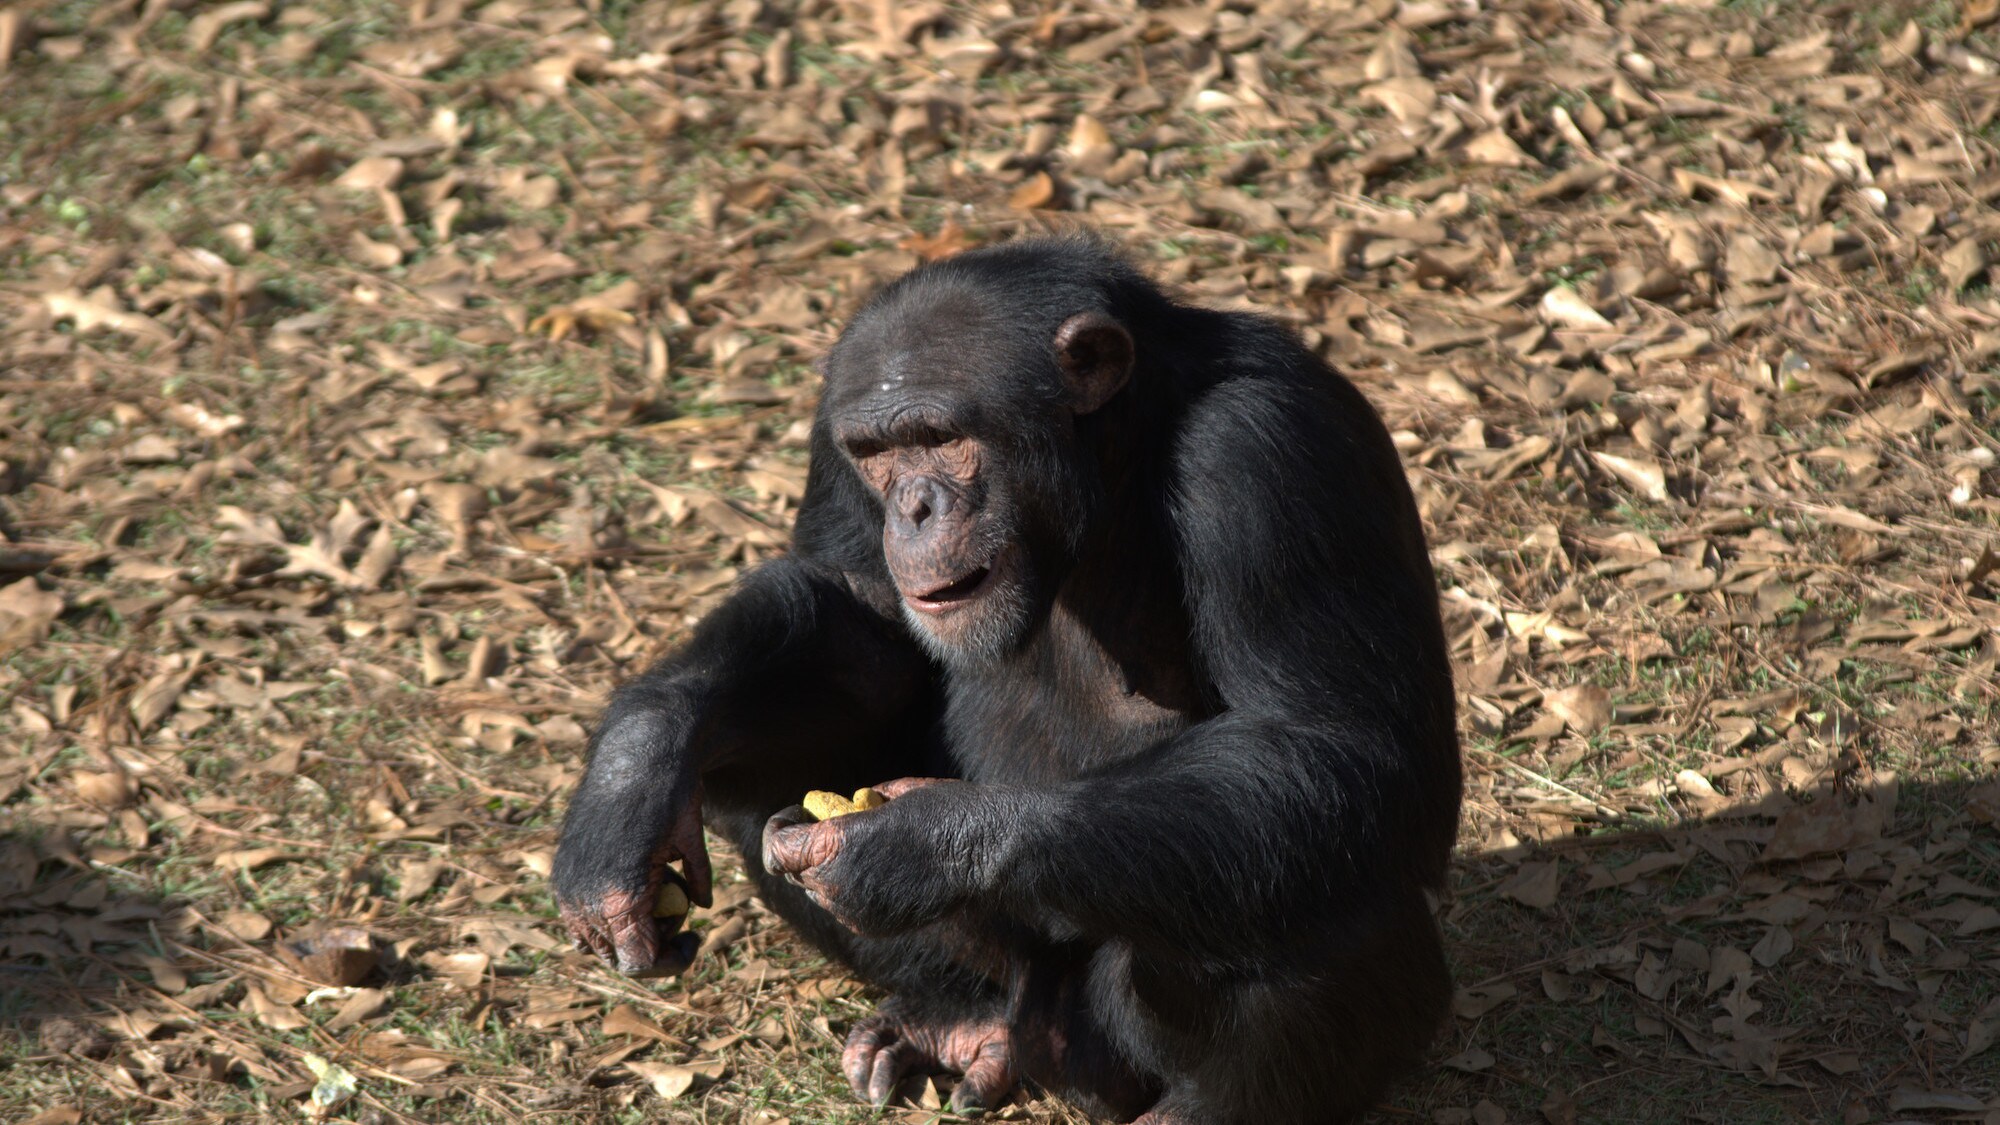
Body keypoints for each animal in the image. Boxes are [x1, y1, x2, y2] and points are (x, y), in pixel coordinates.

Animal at [556, 232, 1464, 1112]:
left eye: (941, 435)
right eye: (875, 452)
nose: (913, 507)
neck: (1112, 458)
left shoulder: (1267, 451)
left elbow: (1331, 742)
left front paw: (919, 843)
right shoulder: (827, 439)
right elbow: (857, 614)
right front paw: (632, 775)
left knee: (1307, 885)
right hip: (1026, 994)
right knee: (746, 788)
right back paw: (961, 1020)